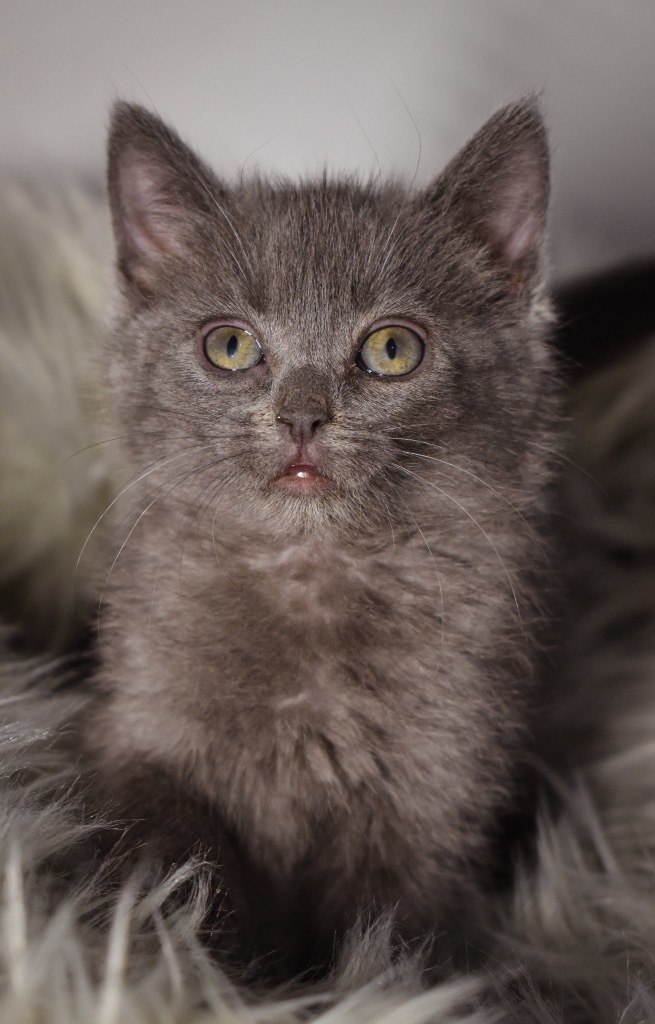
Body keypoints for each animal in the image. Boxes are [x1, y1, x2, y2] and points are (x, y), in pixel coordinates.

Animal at [80, 99, 556, 978]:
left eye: (392, 349)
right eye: (229, 345)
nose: (302, 415)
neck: (311, 569)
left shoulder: (437, 782)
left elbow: (388, 931)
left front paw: (366, 985)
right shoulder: (138, 729)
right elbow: (180, 857)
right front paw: (199, 973)